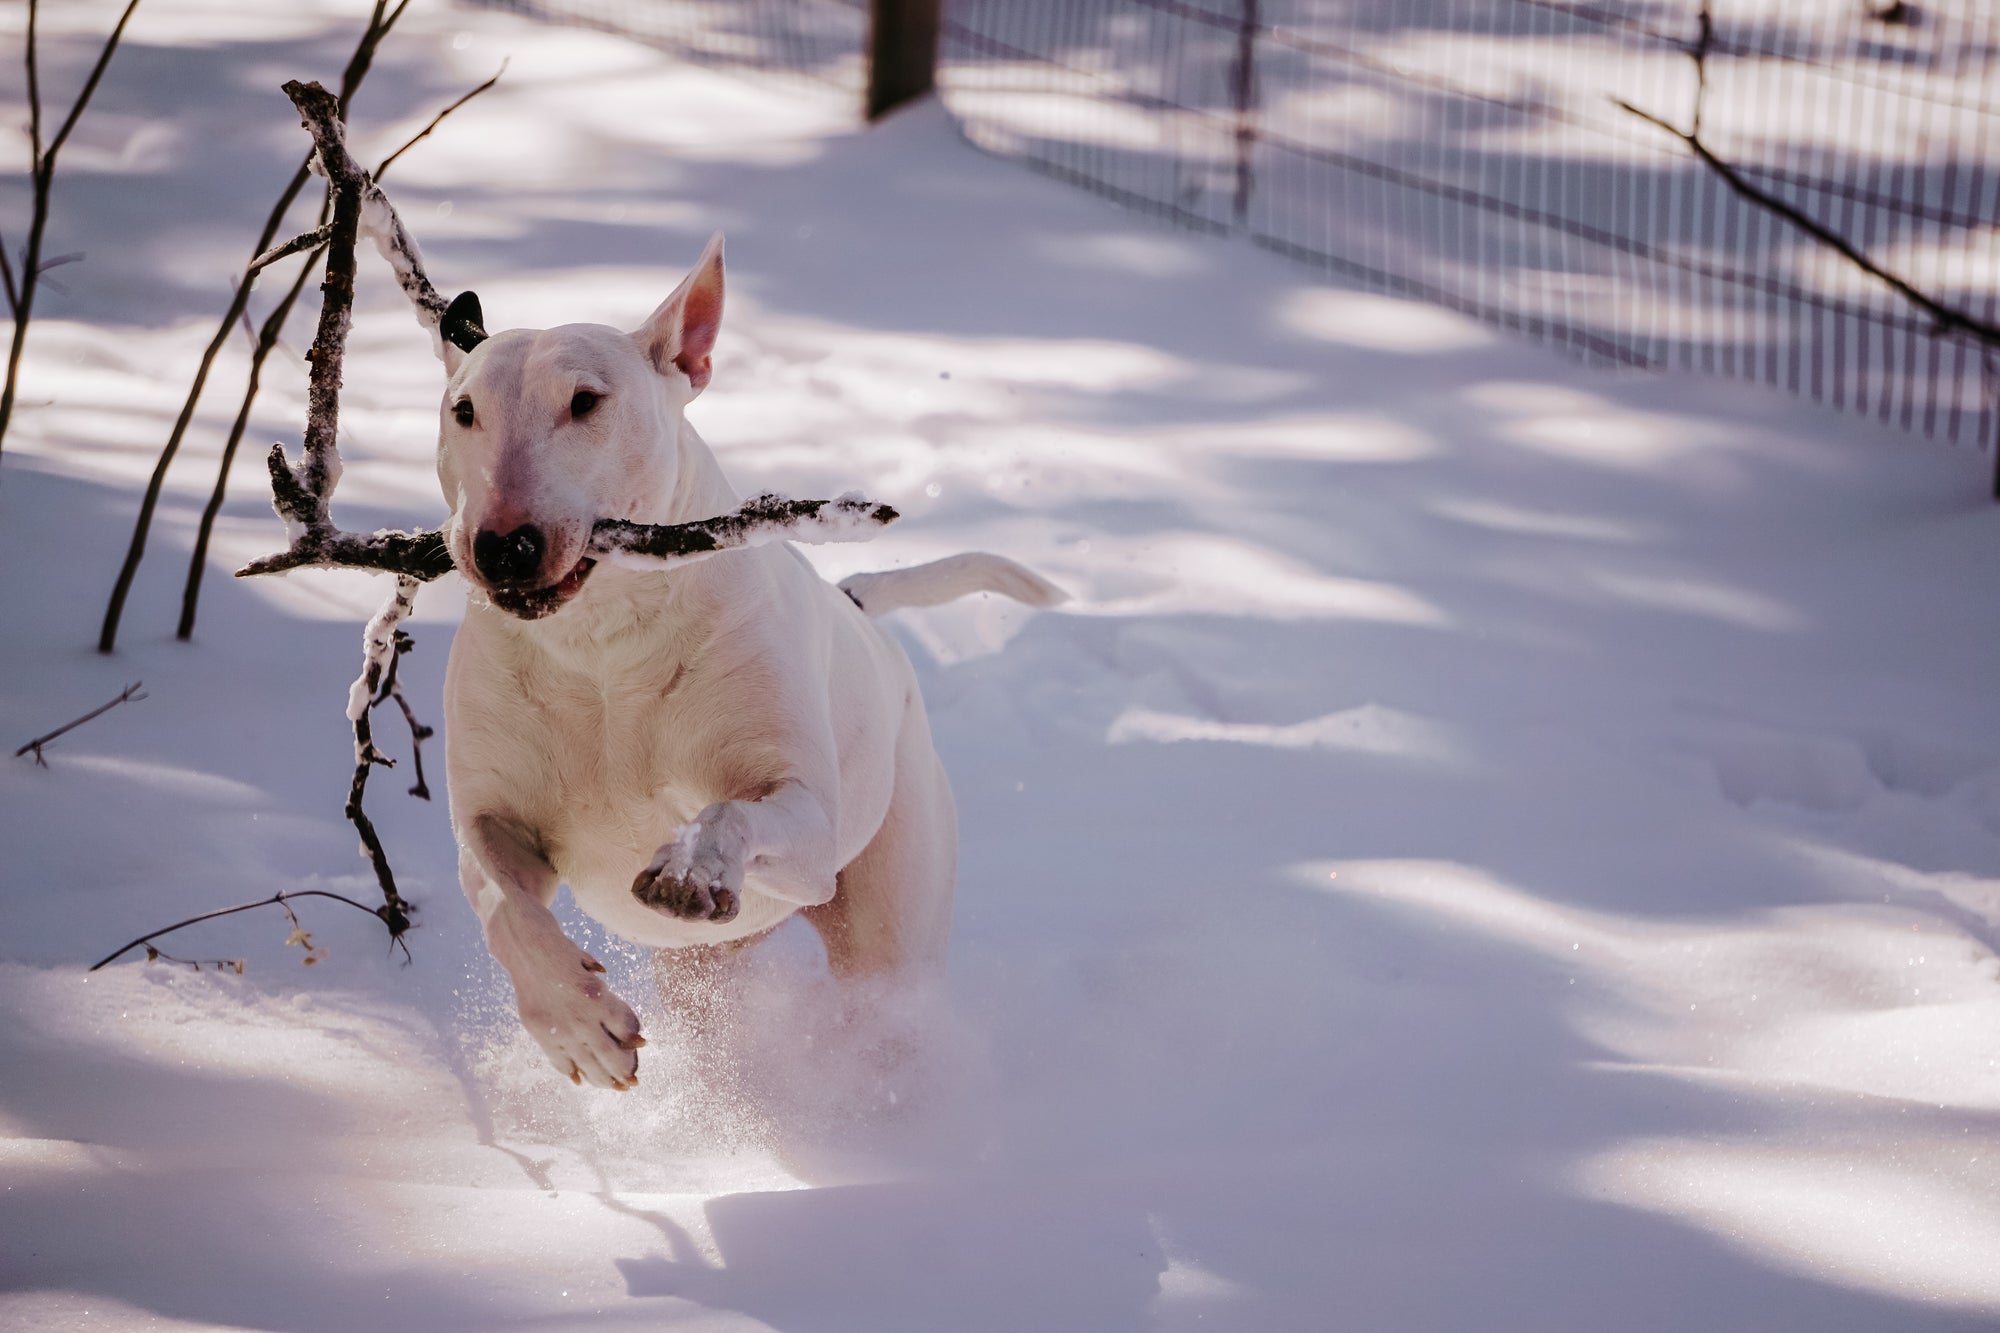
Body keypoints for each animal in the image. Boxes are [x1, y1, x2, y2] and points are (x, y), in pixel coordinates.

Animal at [438, 233, 1064, 1088]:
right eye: (463, 410)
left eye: (586, 401)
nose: (502, 546)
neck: (601, 644)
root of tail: (855, 601)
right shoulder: (491, 816)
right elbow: (504, 905)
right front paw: (578, 1029)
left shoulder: (805, 820)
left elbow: (731, 808)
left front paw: (691, 866)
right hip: (704, 972)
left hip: (889, 908)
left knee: (885, 992)